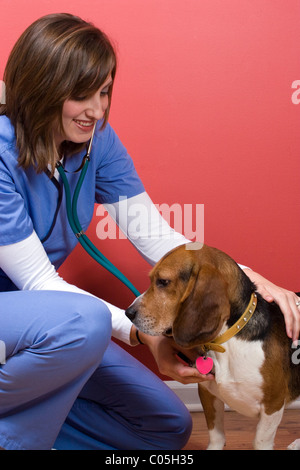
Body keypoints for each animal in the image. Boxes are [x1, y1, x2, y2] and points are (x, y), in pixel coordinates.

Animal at [126, 244, 300, 450]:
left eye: (163, 282)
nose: (128, 313)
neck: (228, 341)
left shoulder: (273, 405)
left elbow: (260, 441)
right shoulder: (208, 394)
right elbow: (216, 436)